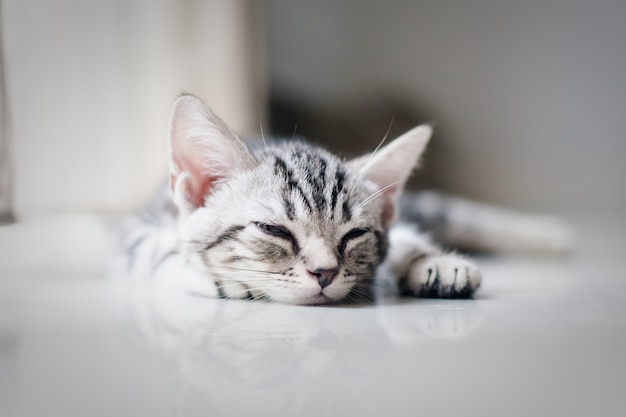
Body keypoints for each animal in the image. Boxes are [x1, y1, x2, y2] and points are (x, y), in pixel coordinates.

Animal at [124, 94, 568, 304]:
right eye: (272, 230)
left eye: (354, 235)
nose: (324, 273)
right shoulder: (138, 233)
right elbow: (156, 256)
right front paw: (216, 276)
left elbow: (405, 237)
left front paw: (434, 262)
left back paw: (550, 235)